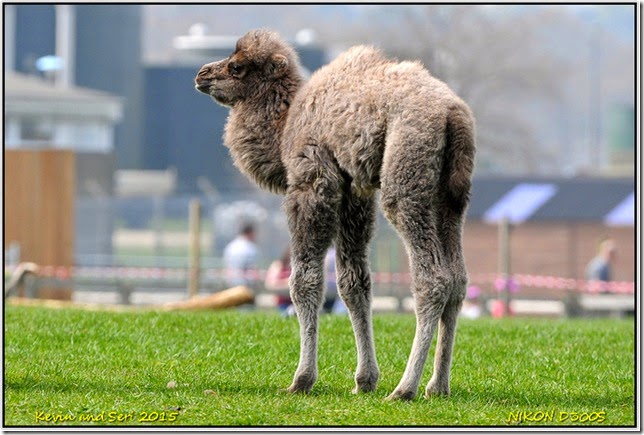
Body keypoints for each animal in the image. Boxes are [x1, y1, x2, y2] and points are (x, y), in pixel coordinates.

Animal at [194, 28, 476, 402]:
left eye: (237, 66)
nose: (202, 74)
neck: (286, 126)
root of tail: (451, 113)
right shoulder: (353, 194)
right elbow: (354, 284)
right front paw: (364, 379)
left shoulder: (312, 183)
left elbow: (305, 282)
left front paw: (301, 379)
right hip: (450, 195)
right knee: (458, 280)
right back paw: (438, 386)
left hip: (406, 174)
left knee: (433, 279)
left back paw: (404, 388)